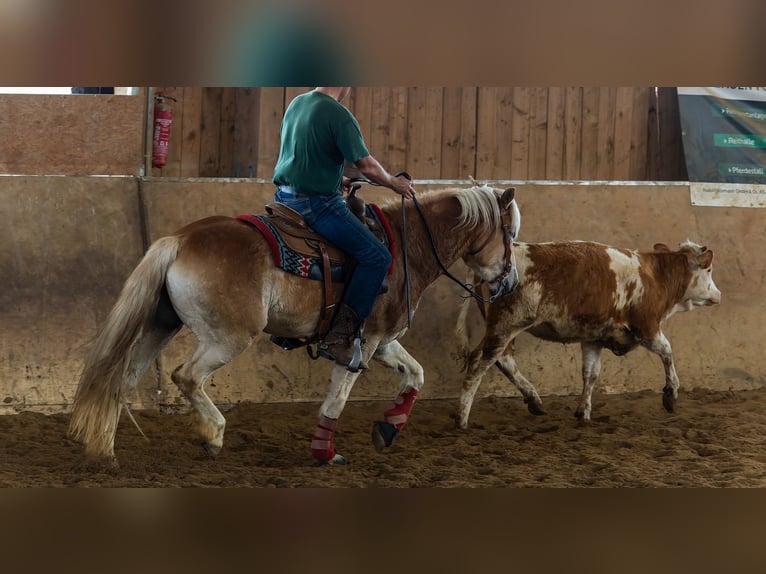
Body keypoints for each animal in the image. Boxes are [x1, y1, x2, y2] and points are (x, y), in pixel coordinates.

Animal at [69, 182, 520, 466]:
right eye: (511, 235)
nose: (509, 282)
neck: (406, 247)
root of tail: (178, 240)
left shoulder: (384, 341)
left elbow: (416, 374)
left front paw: (389, 429)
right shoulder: (362, 342)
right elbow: (336, 400)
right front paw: (325, 453)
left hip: (161, 327)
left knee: (122, 379)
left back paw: (104, 452)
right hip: (228, 337)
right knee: (186, 376)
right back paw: (212, 435)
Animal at [456, 240, 728, 432]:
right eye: (709, 269)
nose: (718, 295)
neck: (655, 277)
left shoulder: (593, 338)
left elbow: (591, 374)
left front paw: (583, 412)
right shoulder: (646, 327)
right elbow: (668, 352)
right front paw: (671, 394)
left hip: (505, 326)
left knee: (503, 360)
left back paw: (534, 400)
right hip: (506, 323)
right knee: (480, 363)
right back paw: (462, 417)